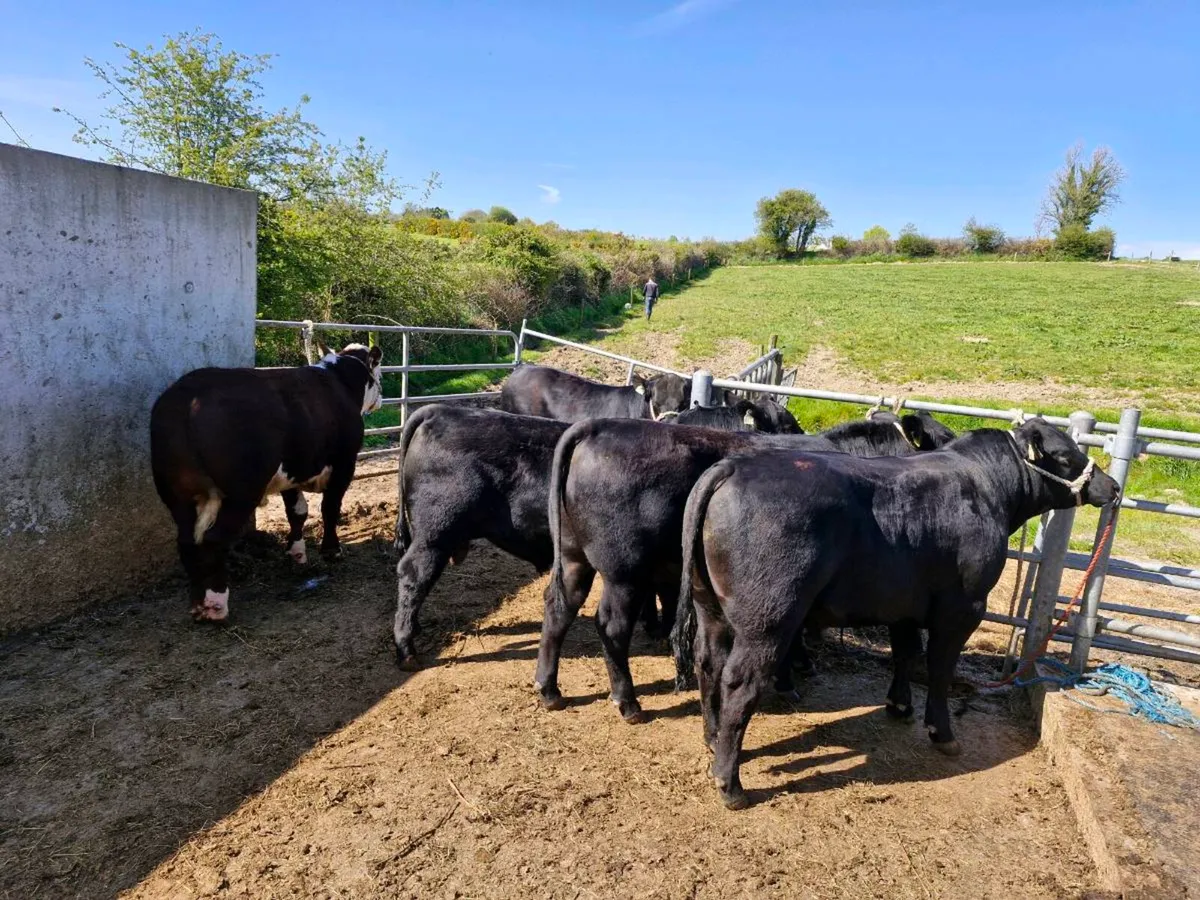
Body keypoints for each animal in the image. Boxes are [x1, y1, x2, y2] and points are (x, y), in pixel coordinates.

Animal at [150, 342, 383, 622]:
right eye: (379, 371)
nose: (381, 398)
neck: (339, 382)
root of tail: (188, 398)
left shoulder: (293, 470)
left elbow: (297, 512)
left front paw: (297, 552)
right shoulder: (344, 464)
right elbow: (330, 508)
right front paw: (331, 551)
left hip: (176, 494)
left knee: (186, 541)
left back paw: (197, 603)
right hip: (241, 492)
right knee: (214, 539)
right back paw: (216, 603)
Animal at [533, 411, 957, 722]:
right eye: (943, 437)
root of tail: (597, 426)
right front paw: (791, 678)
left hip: (574, 556)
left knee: (558, 606)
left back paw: (549, 689)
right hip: (625, 573)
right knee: (611, 626)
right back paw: (628, 703)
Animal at [676, 418, 1119, 809]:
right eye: (1065, 455)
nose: (1112, 486)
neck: (984, 487)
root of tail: (732, 466)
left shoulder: (903, 604)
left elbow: (904, 652)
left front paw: (899, 705)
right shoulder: (963, 607)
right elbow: (939, 667)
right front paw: (942, 731)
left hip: (708, 605)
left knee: (707, 663)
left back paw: (712, 739)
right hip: (768, 619)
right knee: (740, 682)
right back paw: (730, 784)